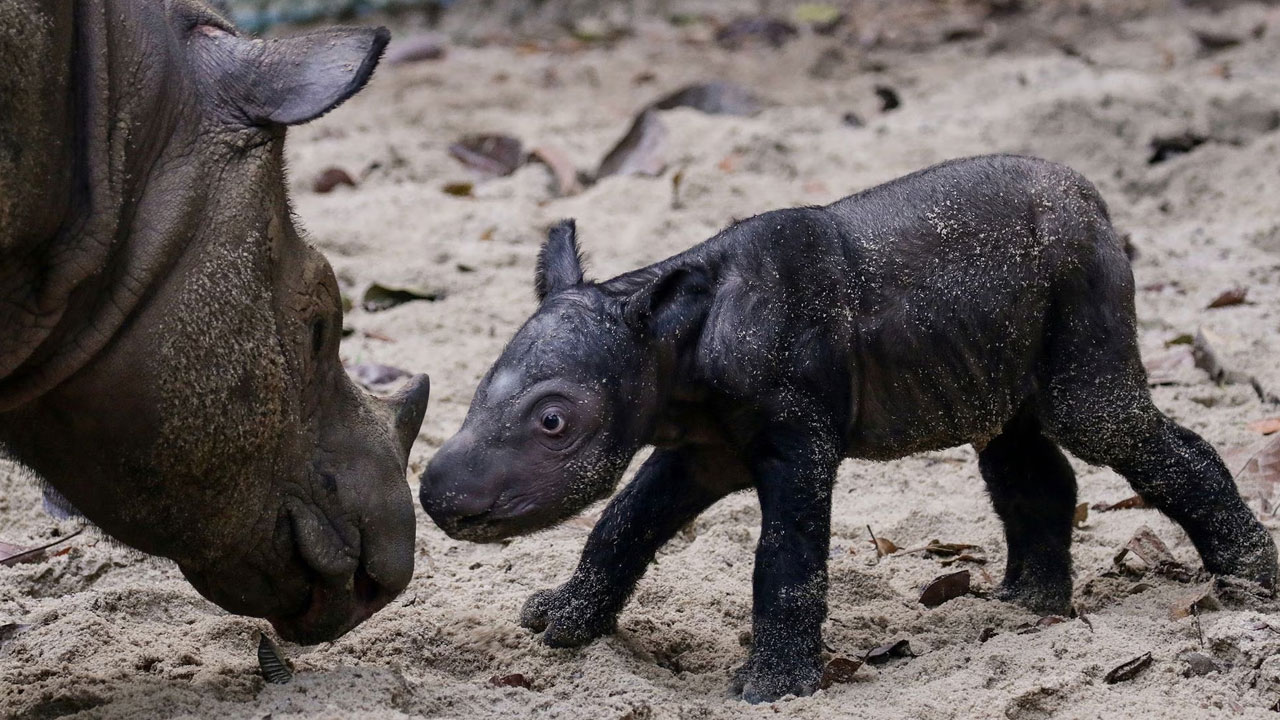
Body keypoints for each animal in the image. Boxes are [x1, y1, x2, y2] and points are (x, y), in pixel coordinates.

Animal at [422, 154, 1280, 696]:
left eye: (553, 421)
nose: (437, 498)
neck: (668, 340)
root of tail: (1096, 200)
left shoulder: (796, 437)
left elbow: (786, 556)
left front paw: (770, 689)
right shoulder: (702, 444)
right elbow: (625, 524)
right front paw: (560, 625)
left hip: (1082, 275)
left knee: (1100, 420)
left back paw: (1249, 582)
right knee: (1014, 445)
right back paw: (1025, 608)